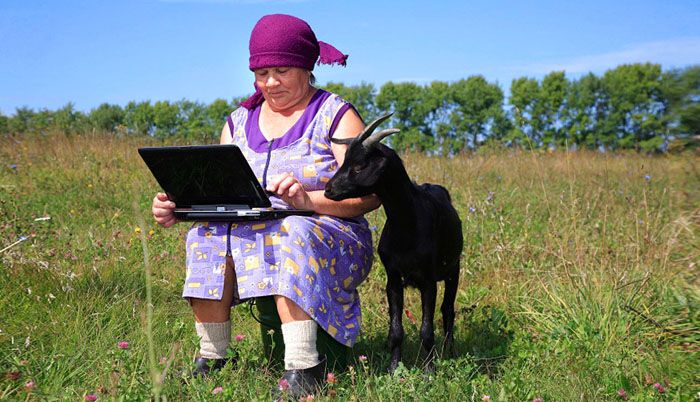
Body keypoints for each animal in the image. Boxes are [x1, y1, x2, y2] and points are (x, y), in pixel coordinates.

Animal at [325, 113, 463, 372]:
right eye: (344, 161)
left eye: (359, 166)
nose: (329, 190)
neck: (407, 226)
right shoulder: (394, 278)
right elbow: (396, 330)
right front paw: (393, 368)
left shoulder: (428, 281)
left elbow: (427, 329)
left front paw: (429, 369)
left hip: (453, 270)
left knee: (448, 310)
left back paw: (450, 351)